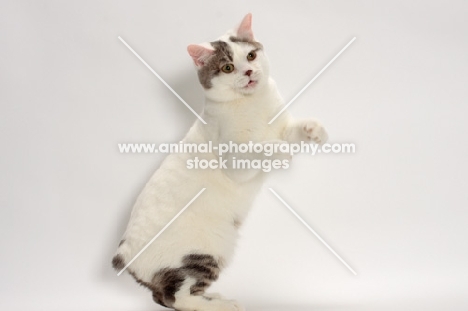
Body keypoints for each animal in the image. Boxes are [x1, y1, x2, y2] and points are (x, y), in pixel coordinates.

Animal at [112, 12, 328, 311]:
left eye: (250, 55)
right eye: (227, 67)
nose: (248, 72)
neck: (252, 104)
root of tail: (124, 253)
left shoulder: (281, 125)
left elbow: (292, 130)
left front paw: (313, 130)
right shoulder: (234, 159)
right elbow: (257, 148)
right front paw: (279, 151)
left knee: (163, 296)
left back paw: (213, 297)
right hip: (205, 250)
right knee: (175, 297)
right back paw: (222, 304)